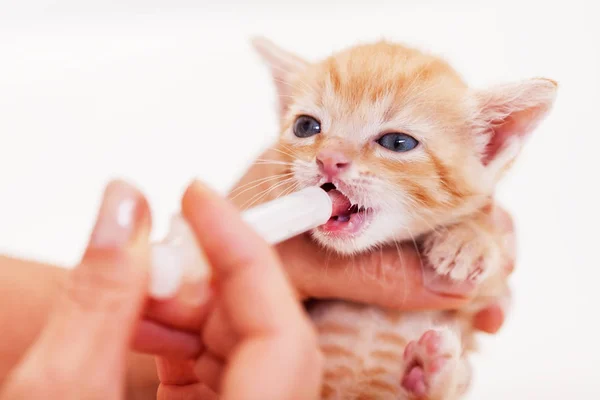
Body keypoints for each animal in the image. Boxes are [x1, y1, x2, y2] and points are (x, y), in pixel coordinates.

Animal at [232, 38, 556, 400]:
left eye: (397, 143)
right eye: (306, 126)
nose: (328, 159)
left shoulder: (480, 302)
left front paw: (469, 239)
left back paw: (430, 369)